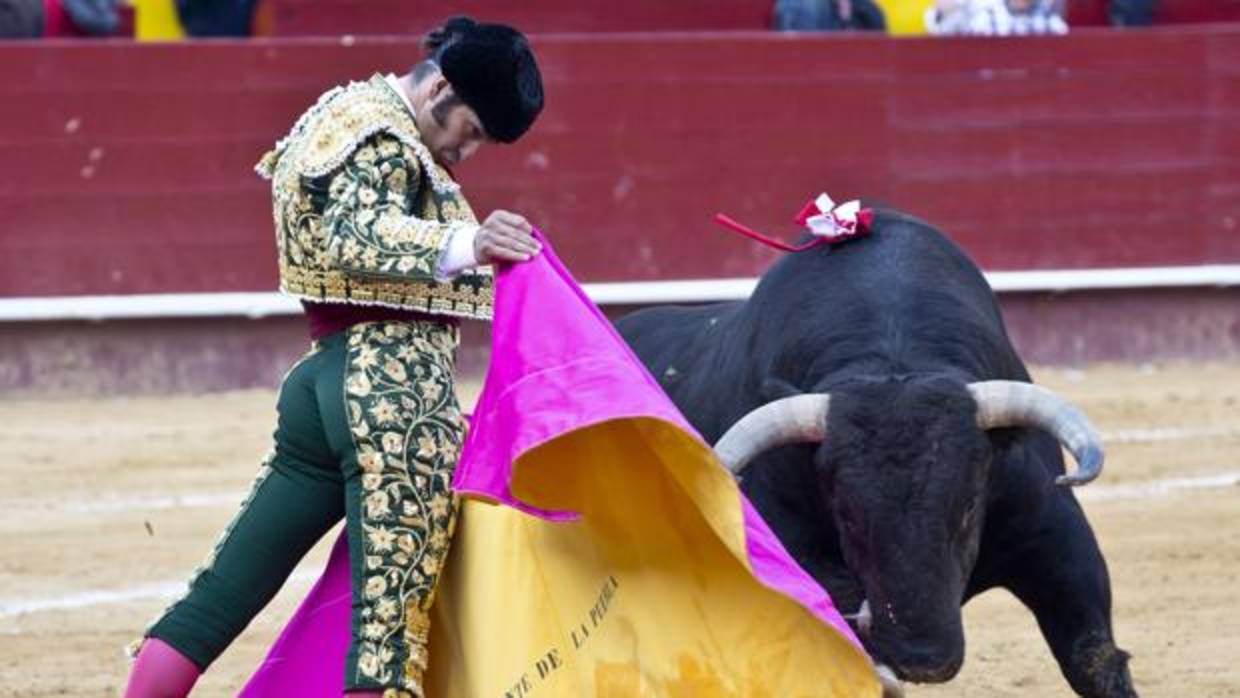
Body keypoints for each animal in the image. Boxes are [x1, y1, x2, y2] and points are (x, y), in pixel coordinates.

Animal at [615, 209, 1135, 698]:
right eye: (845, 514)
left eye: (970, 504)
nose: (922, 659)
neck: (893, 350)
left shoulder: (1053, 536)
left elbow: (1094, 660)